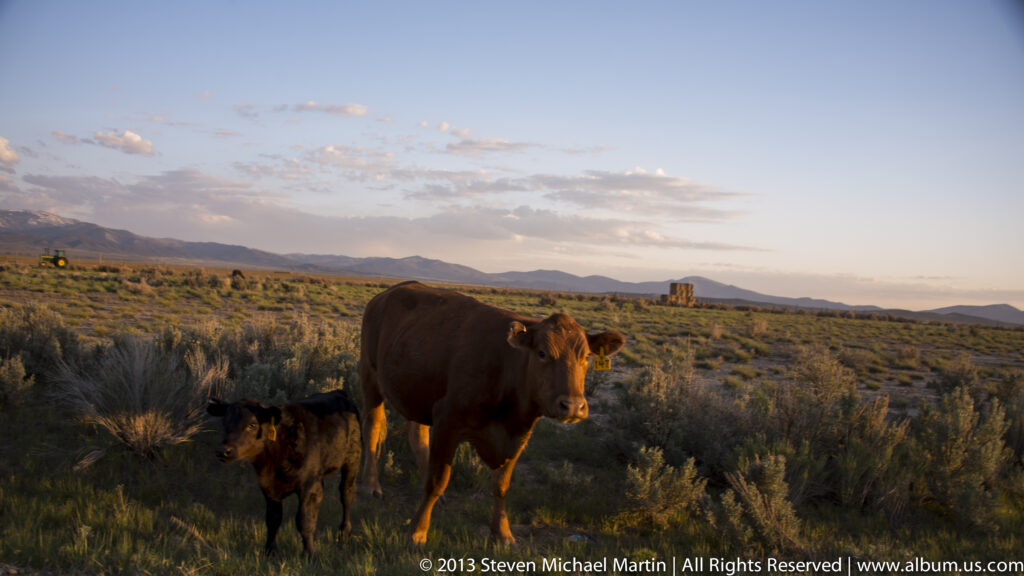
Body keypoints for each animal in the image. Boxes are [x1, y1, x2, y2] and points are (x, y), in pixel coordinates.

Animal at [206, 390, 361, 556]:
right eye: (224, 423)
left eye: (252, 425)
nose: (223, 451)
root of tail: (338, 392)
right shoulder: (268, 485)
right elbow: (273, 519)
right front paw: (270, 551)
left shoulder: (309, 485)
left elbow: (305, 521)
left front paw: (309, 554)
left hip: (352, 460)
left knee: (347, 495)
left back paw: (344, 533)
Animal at [359, 281, 625, 545]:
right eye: (542, 353)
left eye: (586, 356)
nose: (572, 406)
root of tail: (385, 294)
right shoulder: (447, 422)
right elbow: (438, 481)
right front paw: (417, 531)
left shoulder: (518, 435)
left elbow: (501, 485)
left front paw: (503, 532)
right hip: (370, 378)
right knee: (372, 428)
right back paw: (371, 486)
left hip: (418, 393)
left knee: (416, 434)